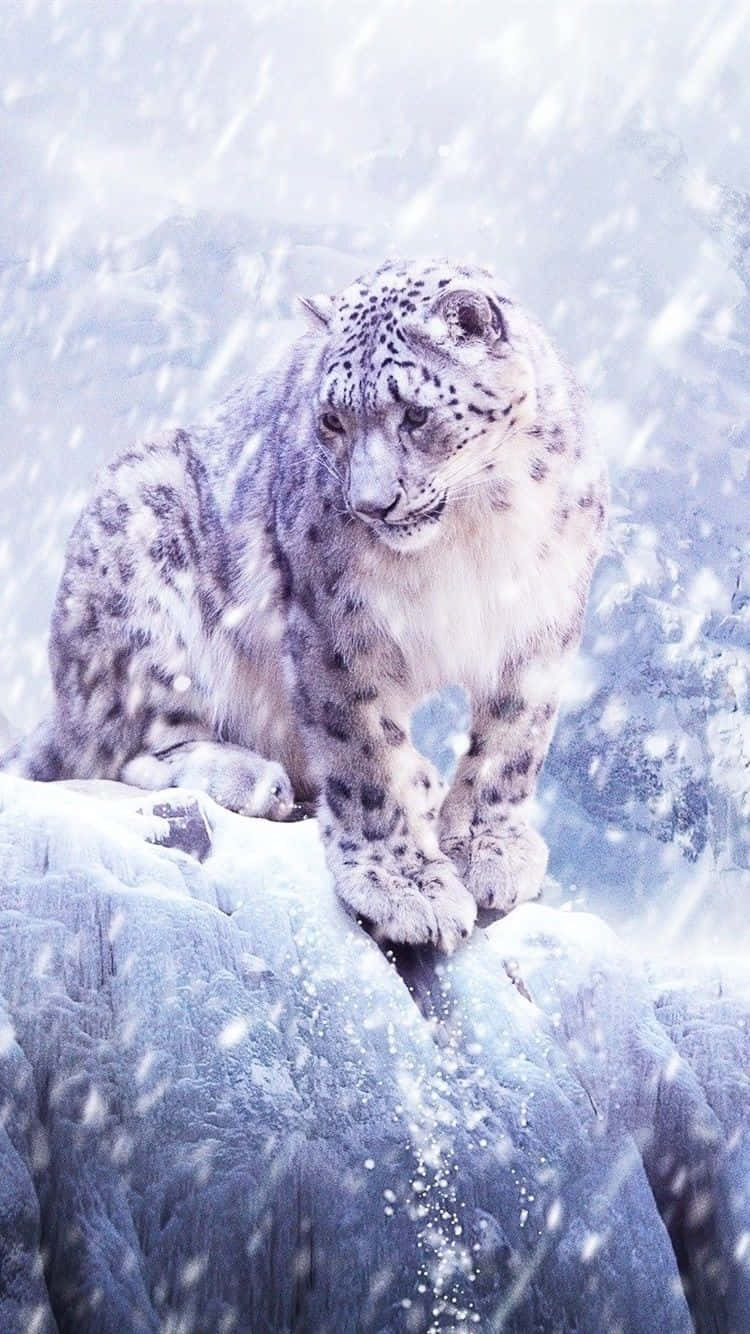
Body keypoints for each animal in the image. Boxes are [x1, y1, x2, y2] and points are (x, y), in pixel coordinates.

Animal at [2, 258, 607, 952]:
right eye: (332, 421)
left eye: (415, 415)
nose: (371, 504)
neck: (475, 529)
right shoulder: (335, 624)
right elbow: (362, 755)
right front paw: (404, 886)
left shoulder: (543, 619)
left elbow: (514, 739)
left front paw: (488, 847)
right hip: (143, 565)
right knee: (123, 745)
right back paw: (251, 778)